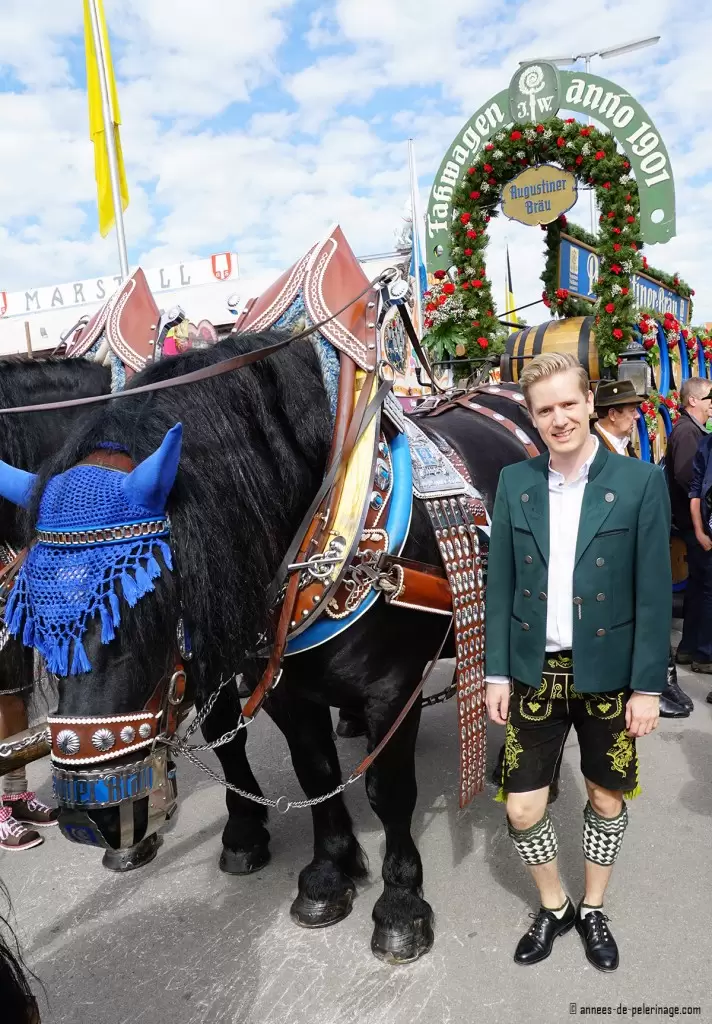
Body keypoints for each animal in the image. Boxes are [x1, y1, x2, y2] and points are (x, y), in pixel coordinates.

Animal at [4, 333, 540, 958]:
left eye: (147, 595)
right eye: (32, 613)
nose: (91, 820)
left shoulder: (392, 689)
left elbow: (388, 791)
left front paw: (401, 905)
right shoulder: (282, 689)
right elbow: (313, 772)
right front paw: (327, 873)